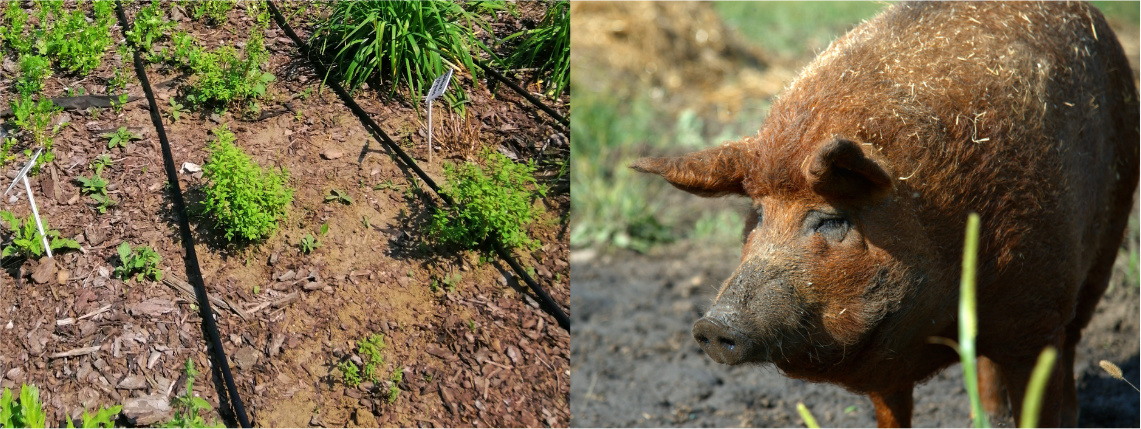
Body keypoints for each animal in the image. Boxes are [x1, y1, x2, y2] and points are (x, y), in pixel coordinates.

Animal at [634, 1, 1141, 426]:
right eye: (756, 215)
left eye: (831, 219)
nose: (712, 324)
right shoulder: (885, 367)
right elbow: (893, 414)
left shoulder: (1038, 317)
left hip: (1107, 241)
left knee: (1072, 340)